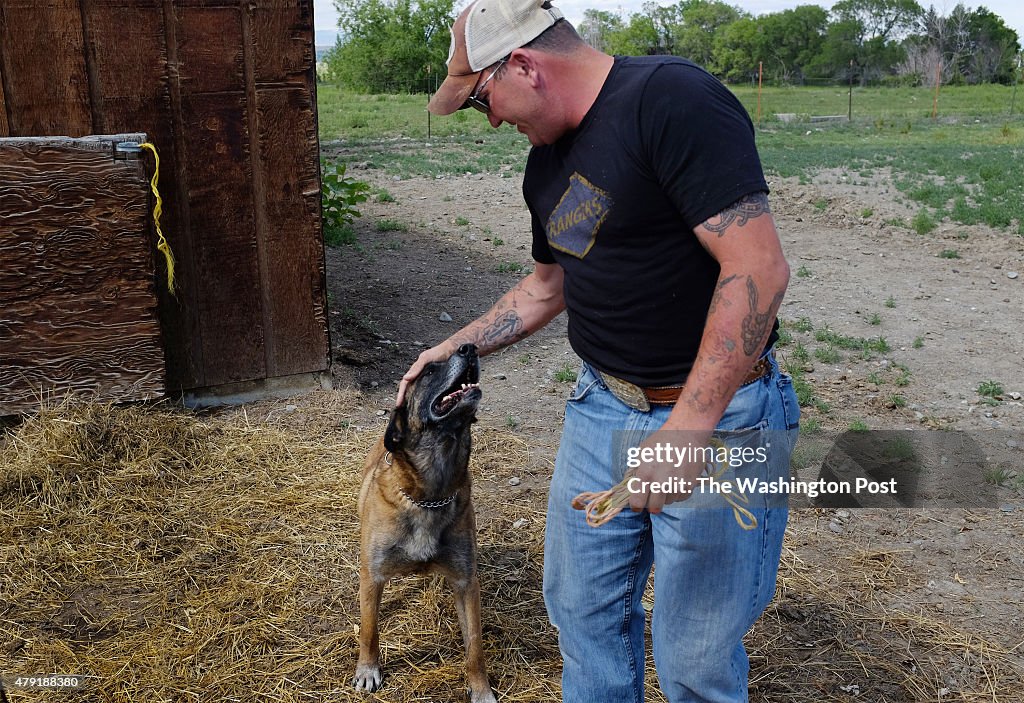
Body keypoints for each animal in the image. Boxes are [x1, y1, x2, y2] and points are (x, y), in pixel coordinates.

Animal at [352, 343, 495, 699]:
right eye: (430, 371)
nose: (469, 347)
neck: (430, 493)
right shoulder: (373, 576)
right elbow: (370, 629)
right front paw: (368, 669)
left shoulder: (466, 583)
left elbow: (475, 645)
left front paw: (480, 689)